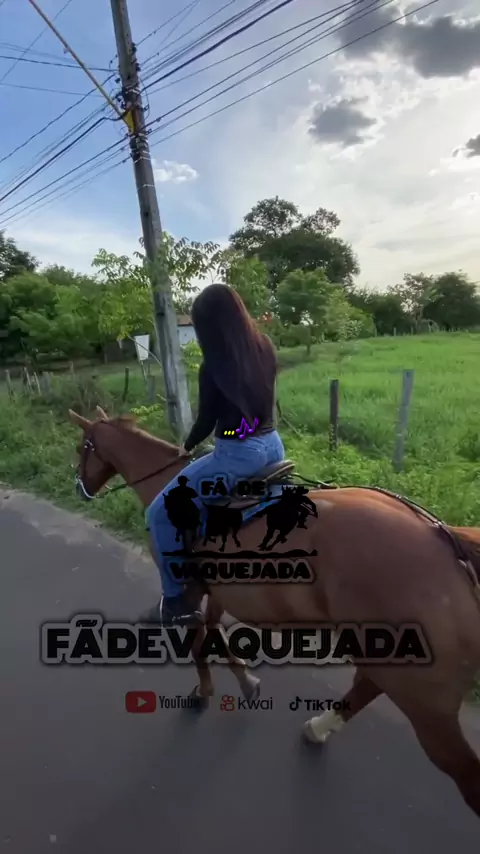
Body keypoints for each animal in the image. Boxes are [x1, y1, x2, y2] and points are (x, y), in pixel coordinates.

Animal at [69, 406, 480, 819]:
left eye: (83, 446)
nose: (80, 487)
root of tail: (445, 540)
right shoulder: (218, 589)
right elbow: (213, 632)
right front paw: (247, 682)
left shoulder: (188, 588)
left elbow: (198, 636)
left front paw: (206, 690)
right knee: (367, 685)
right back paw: (318, 728)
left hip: (426, 700)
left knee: (461, 767)